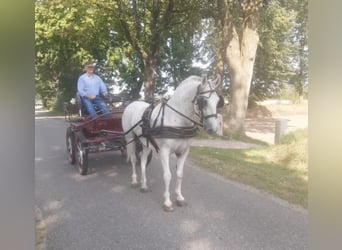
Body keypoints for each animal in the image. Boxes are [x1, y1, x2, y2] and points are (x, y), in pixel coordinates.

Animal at [121, 75, 223, 212]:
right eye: (203, 101)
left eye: (217, 101)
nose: (213, 129)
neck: (176, 119)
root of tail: (132, 103)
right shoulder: (164, 151)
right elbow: (167, 176)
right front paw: (167, 202)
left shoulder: (184, 151)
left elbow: (179, 174)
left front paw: (179, 197)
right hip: (129, 138)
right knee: (133, 159)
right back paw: (134, 181)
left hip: (145, 142)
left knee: (142, 161)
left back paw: (144, 185)